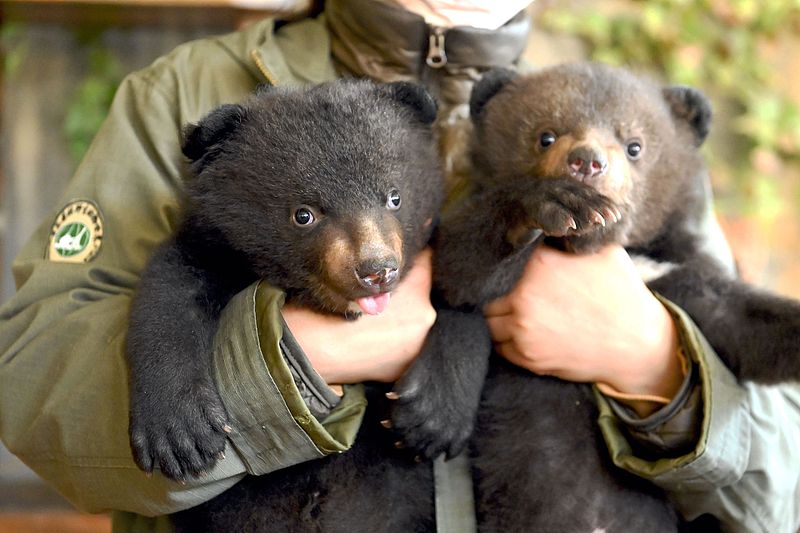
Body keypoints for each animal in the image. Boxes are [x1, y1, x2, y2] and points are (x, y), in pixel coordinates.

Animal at [386, 62, 800, 532]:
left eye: (634, 145)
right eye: (546, 135)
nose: (586, 161)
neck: (584, 249)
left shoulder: (668, 271)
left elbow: (739, 320)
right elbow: (458, 269)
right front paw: (554, 202)